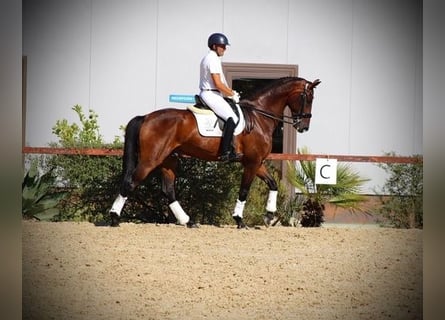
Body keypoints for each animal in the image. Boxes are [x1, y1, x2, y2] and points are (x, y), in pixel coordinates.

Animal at [109, 76, 320, 228]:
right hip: (150, 160)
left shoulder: (256, 162)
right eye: (308, 98)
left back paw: (188, 221)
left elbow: (273, 184)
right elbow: (244, 191)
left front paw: (268, 216)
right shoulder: (252, 163)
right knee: (130, 183)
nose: (304, 127)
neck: (259, 116)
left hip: (168, 160)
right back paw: (114, 218)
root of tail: (145, 117)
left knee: (168, 190)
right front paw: (239, 220)